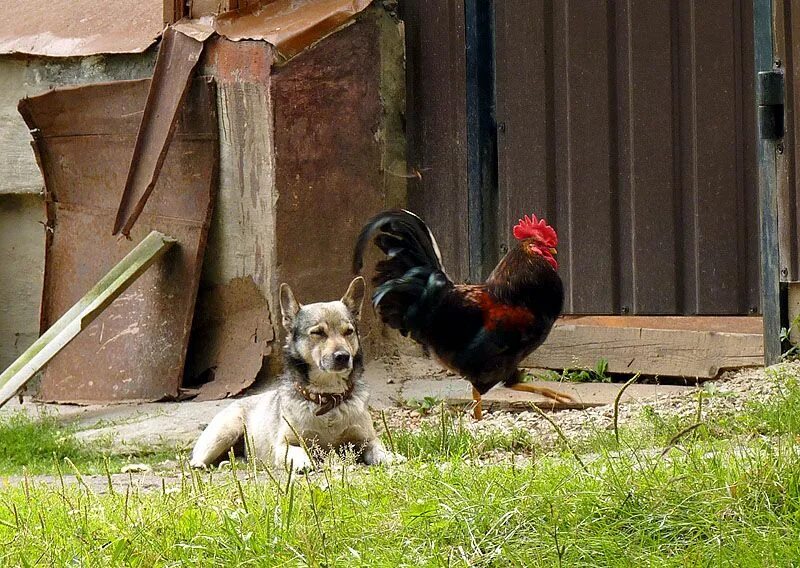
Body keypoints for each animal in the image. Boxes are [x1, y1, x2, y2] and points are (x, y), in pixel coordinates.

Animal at [188, 278, 400, 472]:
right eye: (318, 333)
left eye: (349, 332)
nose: (343, 356)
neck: (327, 397)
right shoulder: (284, 444)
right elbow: (297, 450)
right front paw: (304, 462)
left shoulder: (367, 440)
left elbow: (378, 448)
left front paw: (390, 456)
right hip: (225, 432)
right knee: (196, 460)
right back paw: (200, 465)